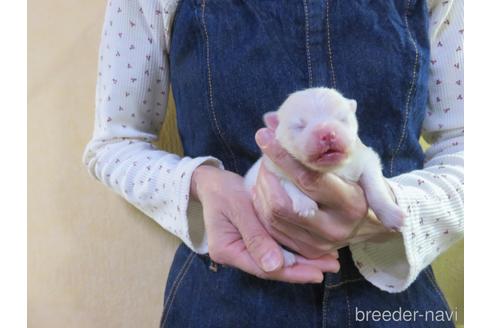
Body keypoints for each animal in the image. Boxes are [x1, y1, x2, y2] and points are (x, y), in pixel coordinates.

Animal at [244, 87, 406, 266]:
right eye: (300, 126)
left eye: (342, 118)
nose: (327, 134)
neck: (331, 169)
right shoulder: (275, 168)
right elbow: (289, 183)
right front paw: (305, 205)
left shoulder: (366, 159)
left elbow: (375, 188)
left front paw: (391, 215)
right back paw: (285, 257)